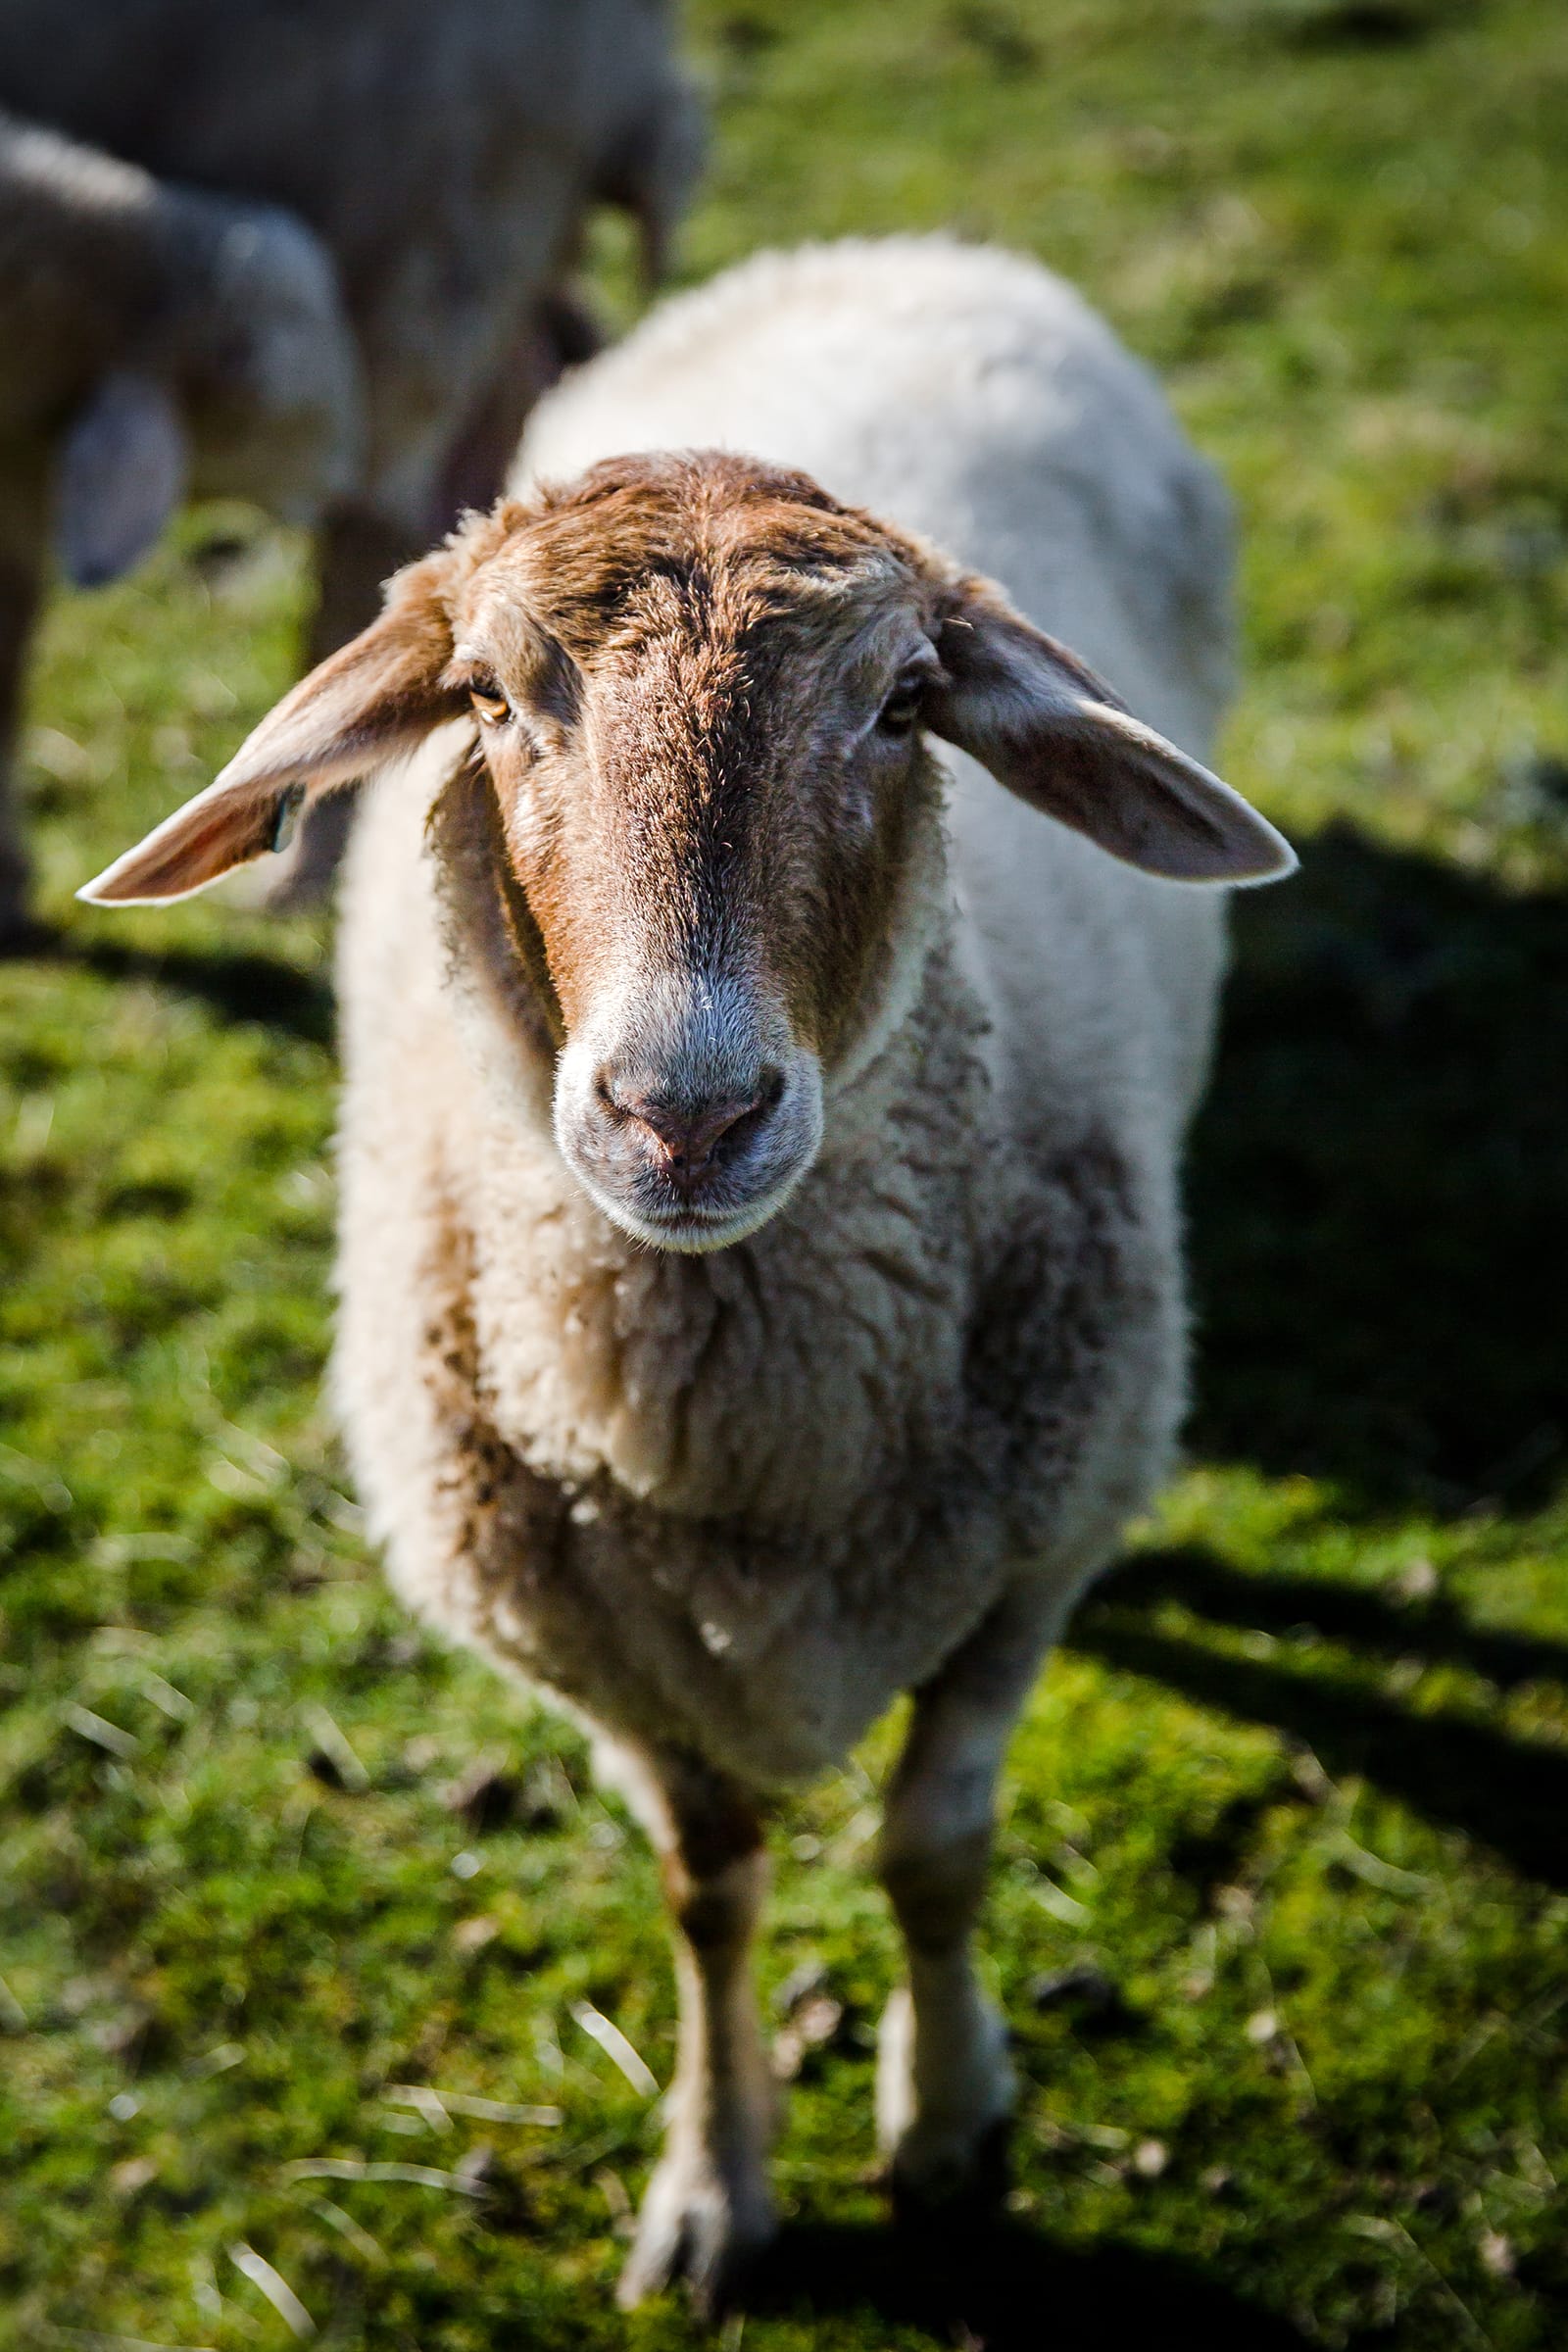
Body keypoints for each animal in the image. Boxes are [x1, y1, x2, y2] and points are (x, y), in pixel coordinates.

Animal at [79, 243, 1298, 2314]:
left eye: (903, 703)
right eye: (489, 695)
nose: (686, 1111)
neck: (741, 1445)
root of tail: (902, 247)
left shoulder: (1030, 1568)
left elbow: (934, 1853)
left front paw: (948, 2124)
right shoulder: (605, 1667)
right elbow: (707, 1894)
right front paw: (717, 2182)